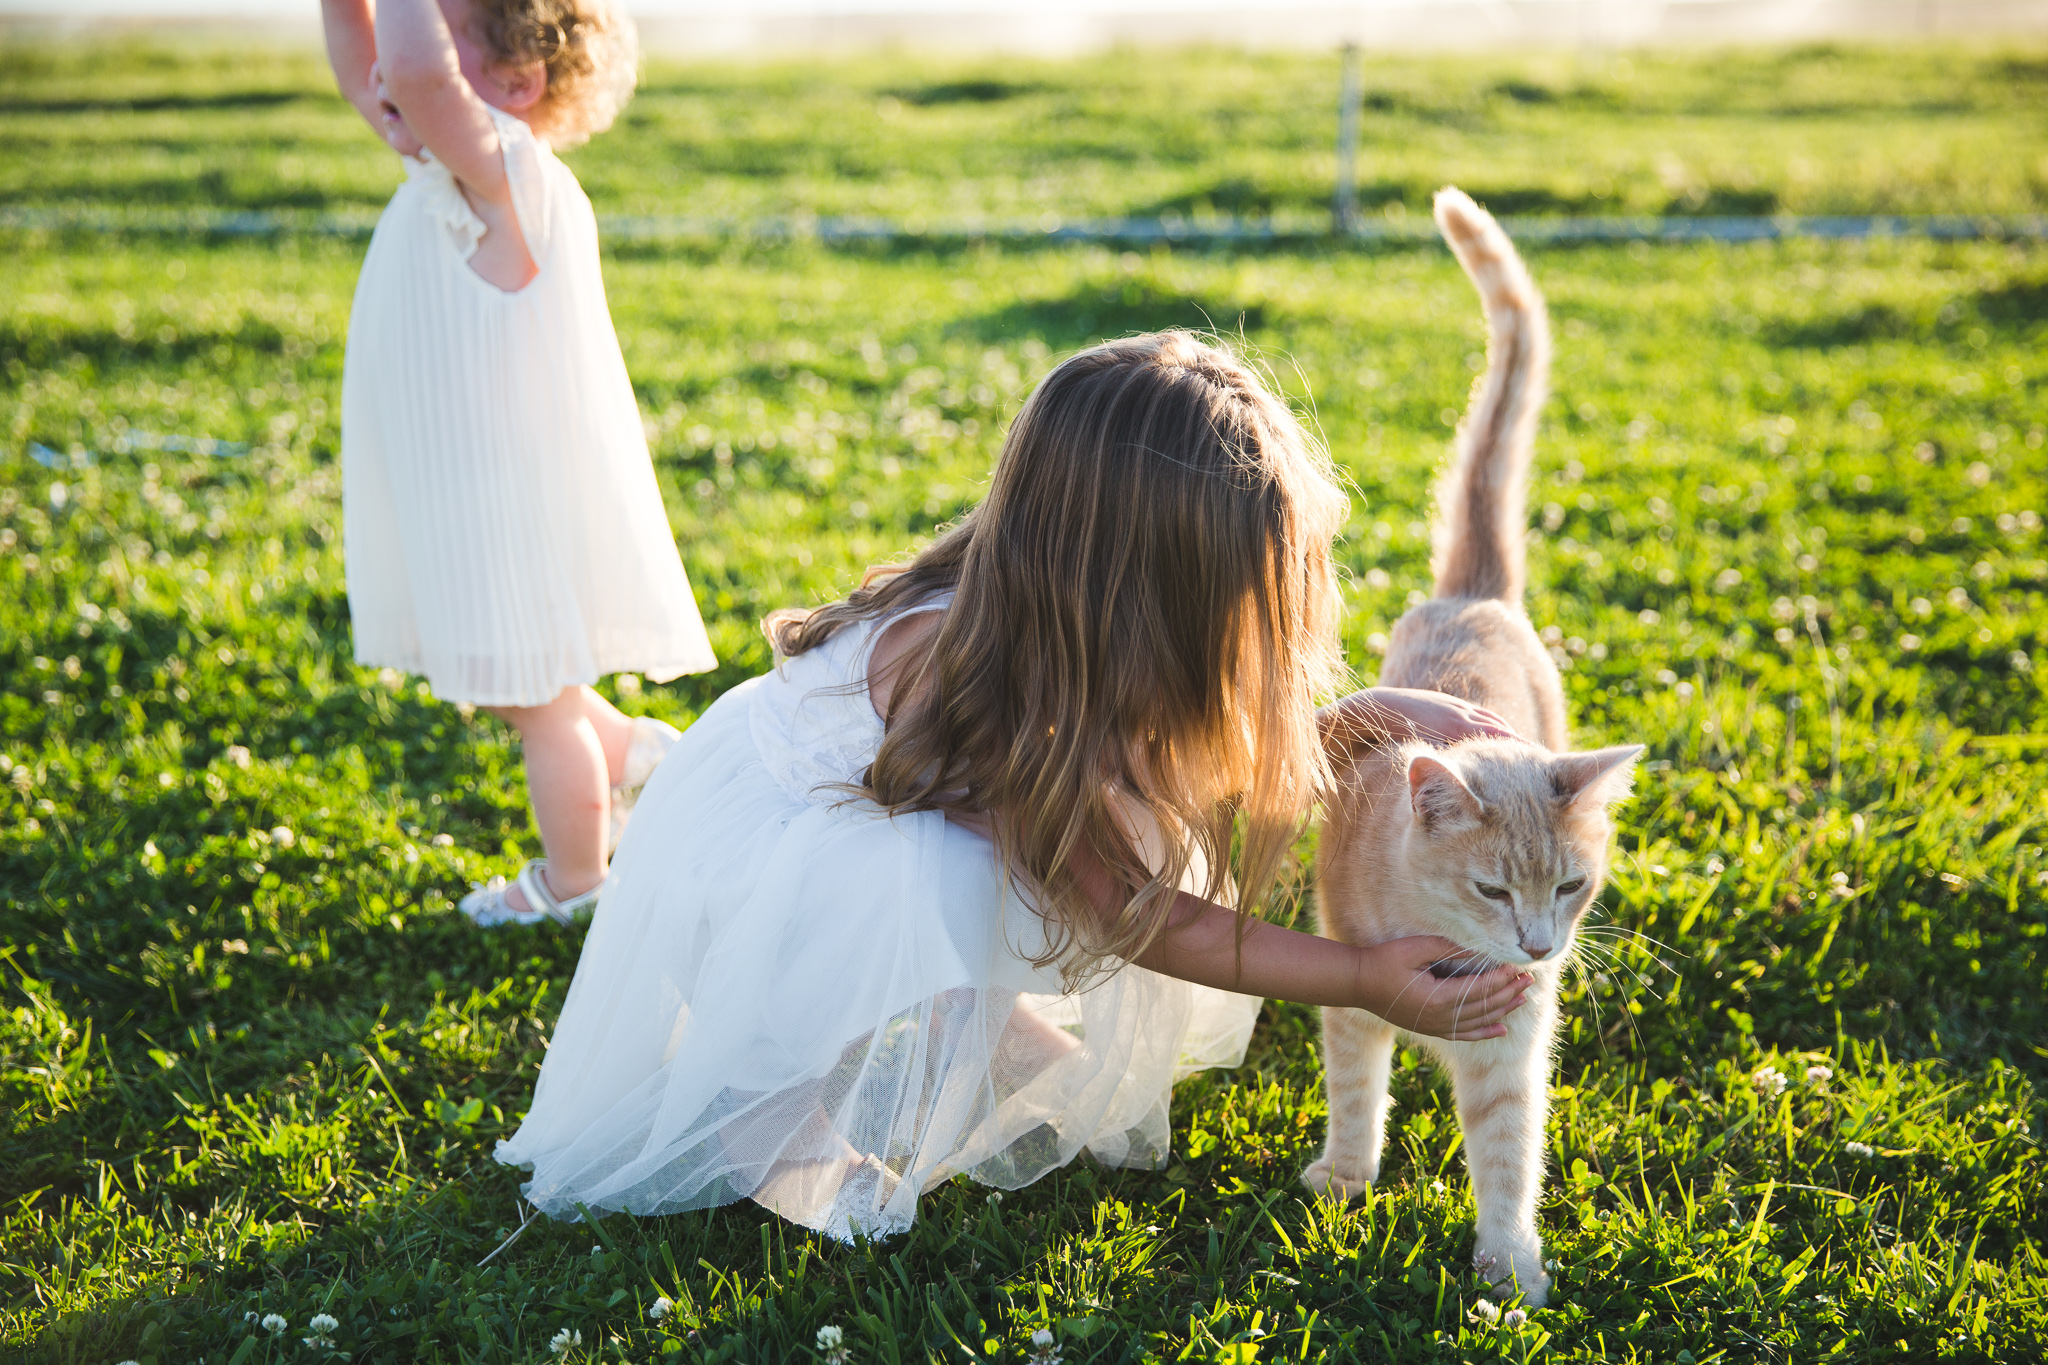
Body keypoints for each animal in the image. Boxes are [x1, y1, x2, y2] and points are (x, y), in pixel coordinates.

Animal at [1310, 187, 1646, 1309]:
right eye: (1494, 889)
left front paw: (1508, 1270)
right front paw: (1345, 1177)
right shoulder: (1352, 999)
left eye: (1571, 887)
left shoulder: (1513, 1050)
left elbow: (1506, 1155)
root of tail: (1474, 593)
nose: (1539, 947)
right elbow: (1354, 1092)